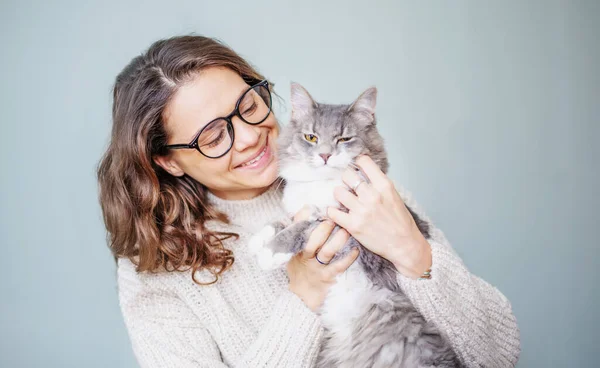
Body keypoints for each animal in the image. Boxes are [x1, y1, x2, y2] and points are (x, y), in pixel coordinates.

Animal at [247, 84, 460, 368]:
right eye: (311, 137)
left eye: (344, 139)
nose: (325, 155)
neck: (323, 185)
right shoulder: (303, 211)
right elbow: (282, 220)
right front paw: (257, 239)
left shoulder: (342, 228)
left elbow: (300, 228)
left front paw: (271, 252)